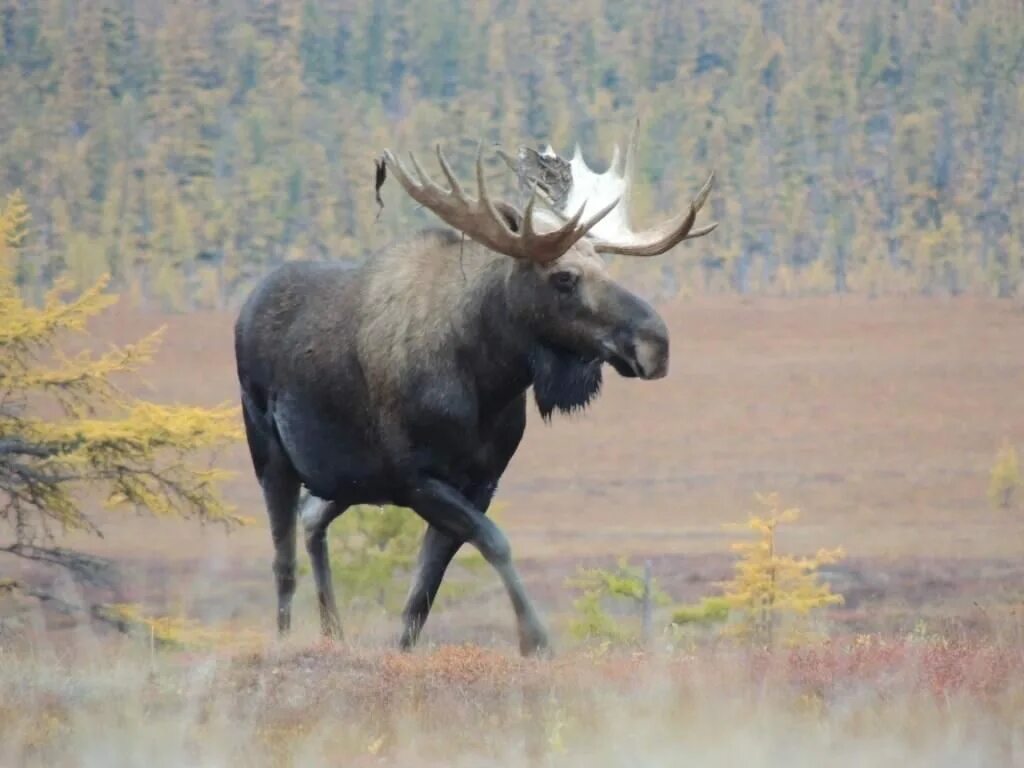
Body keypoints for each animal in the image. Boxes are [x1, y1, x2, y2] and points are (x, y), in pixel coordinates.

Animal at [234, 124, 716, 655]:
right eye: (564, 278)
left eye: (605, 269)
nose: (657, 343)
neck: (488, 382)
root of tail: (246, 306)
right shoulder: (414, 478)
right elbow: (494, 543)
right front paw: (535, 639)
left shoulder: (481, 480)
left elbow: (424, 589)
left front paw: (405, 649)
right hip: (270, 451)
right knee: (283, 558)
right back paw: (287, 636)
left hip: (346, 478)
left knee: (312, 517)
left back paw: (332, 629)